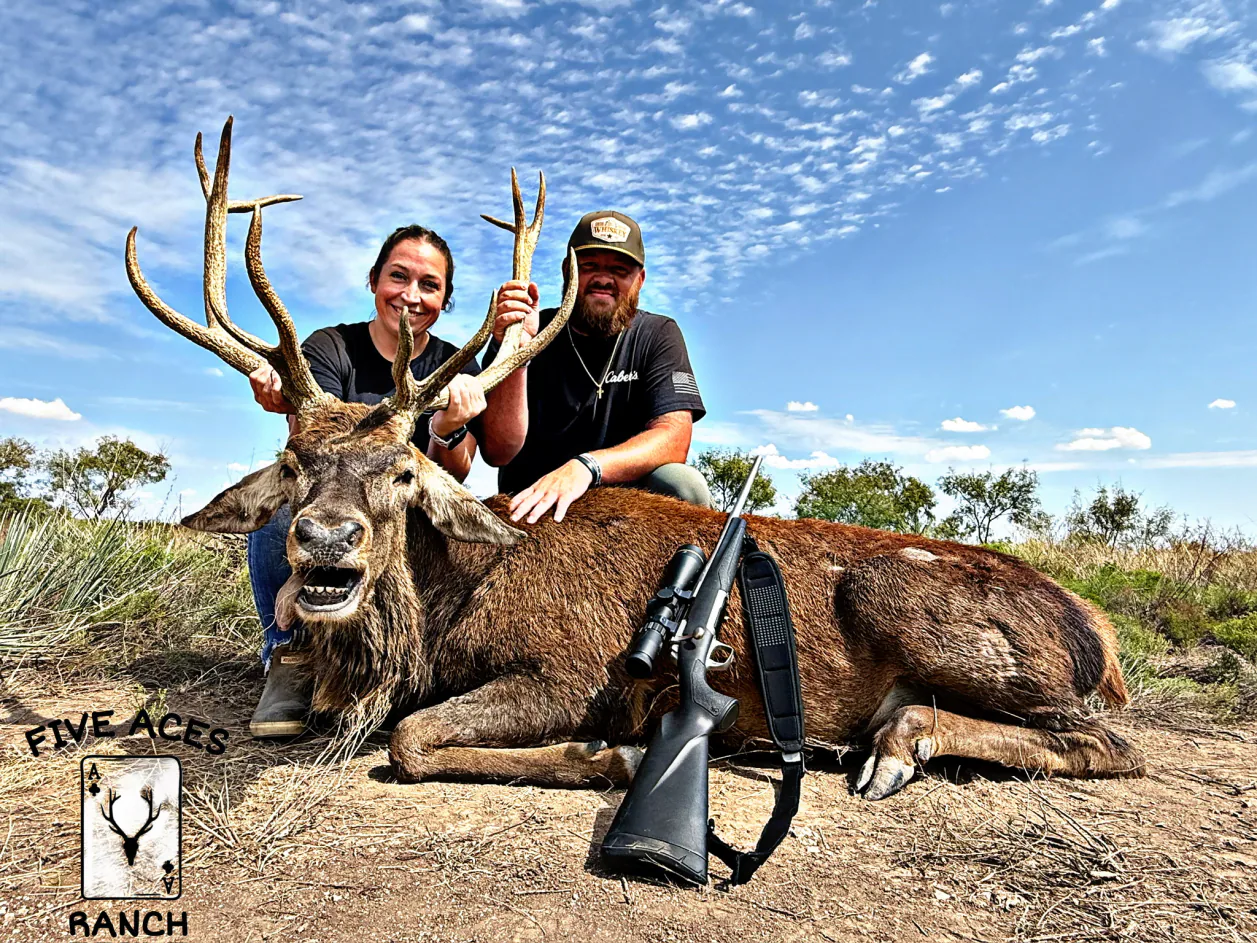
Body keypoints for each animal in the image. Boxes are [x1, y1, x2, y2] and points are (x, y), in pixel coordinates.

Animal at [125, 118, 1145, 803]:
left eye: (404, 472)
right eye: (295, 460)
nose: (326, 542)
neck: (442, 614)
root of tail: (1098, 632)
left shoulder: (568, 667)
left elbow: (410, 739)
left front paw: (610, 755)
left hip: (923, 610)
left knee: (1111, 740)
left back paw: (892, 747)